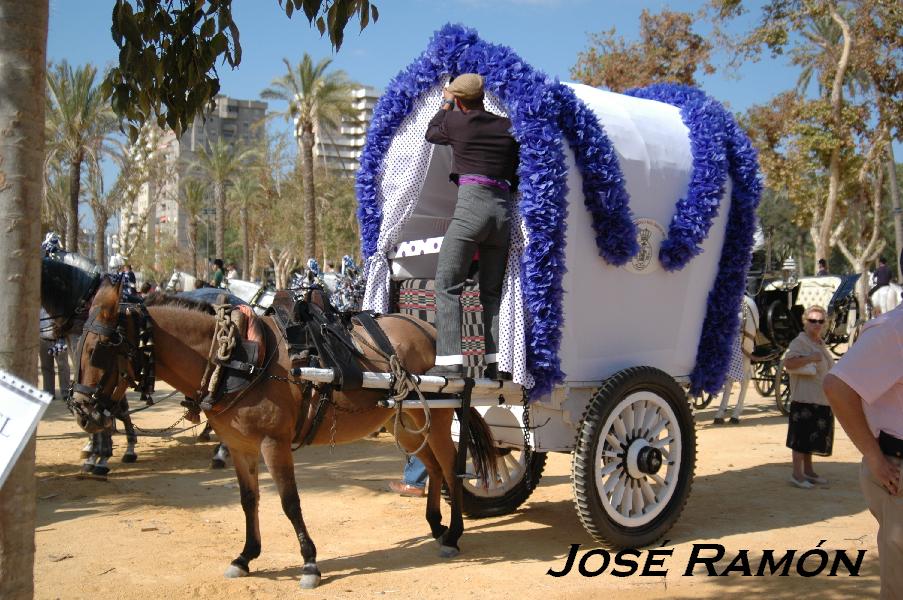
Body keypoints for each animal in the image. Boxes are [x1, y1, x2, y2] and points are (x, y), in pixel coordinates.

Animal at [67, 278, 498, 588]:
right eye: (79, 344)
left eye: (101, 348)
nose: (82, 410)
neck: (238, 359)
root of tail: (427, 327)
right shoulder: (240, 447)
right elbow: (249, 502)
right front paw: (245, 556)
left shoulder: (273, 445)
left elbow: (290, 503)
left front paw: (309, 563)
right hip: (406, 422)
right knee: (435, 468)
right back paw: (436, 525)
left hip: (437, 421)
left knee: (451, 469)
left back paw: (453, 534)